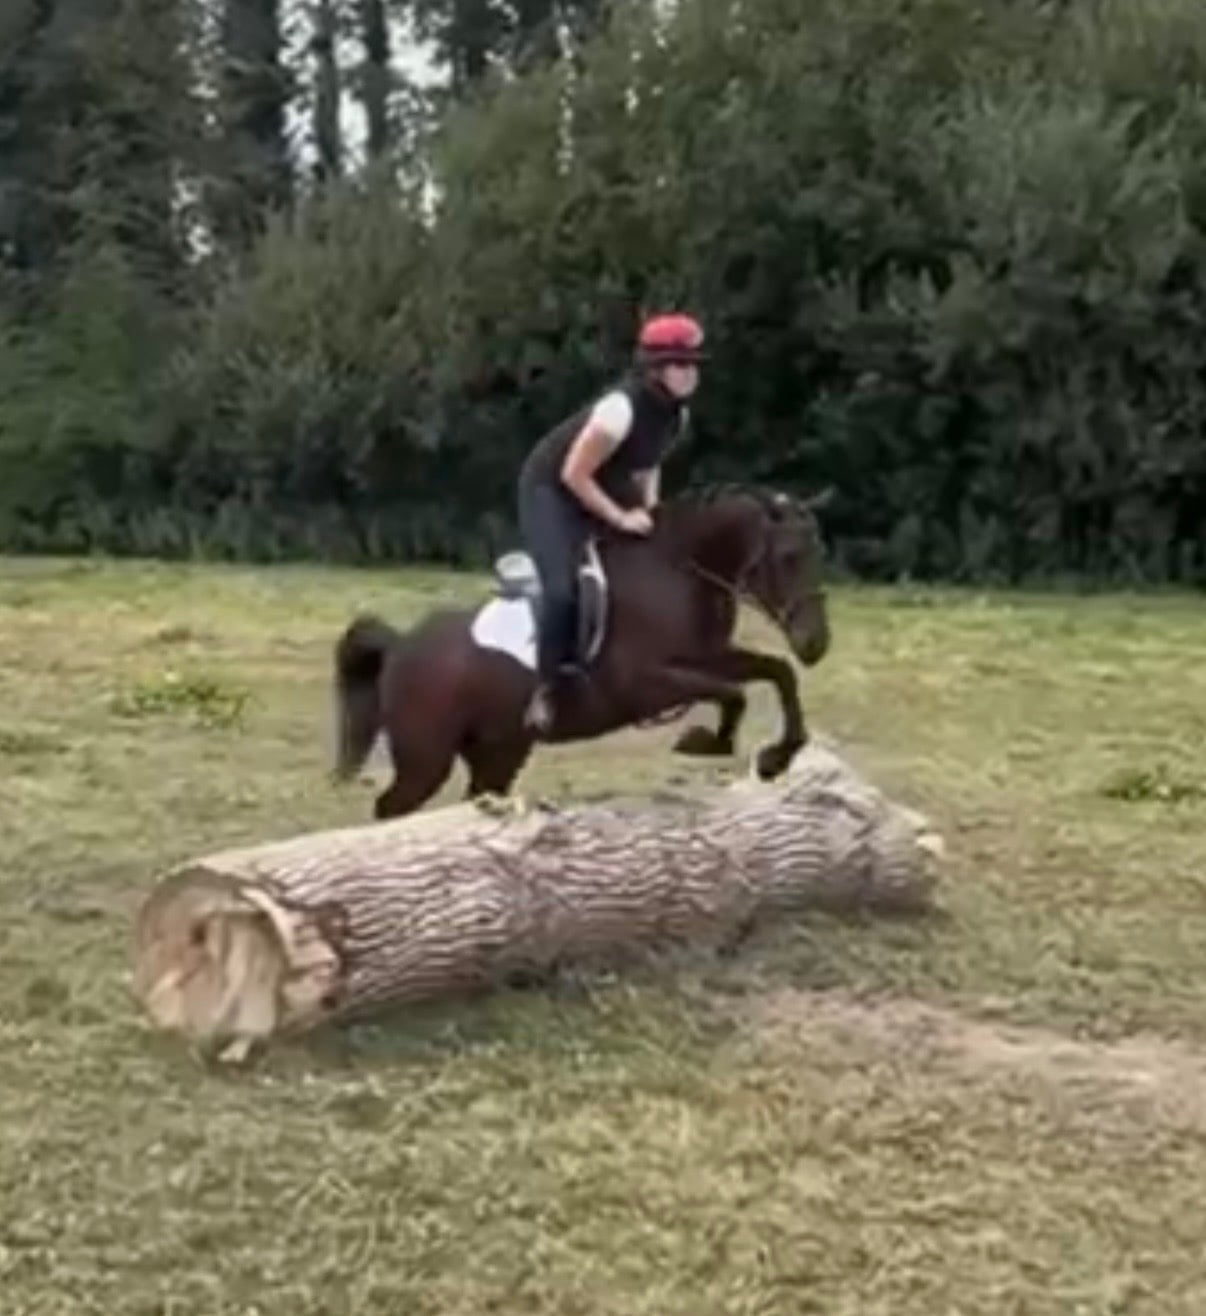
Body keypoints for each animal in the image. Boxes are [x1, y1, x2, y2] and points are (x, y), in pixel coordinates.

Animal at [330, 484, 833, 820]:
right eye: (789, 557)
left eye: (817, 553)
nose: (816, 643)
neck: (678, 570)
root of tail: (401, 645)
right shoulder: (646, 686)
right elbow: (735, 694)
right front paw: (705, 741)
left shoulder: (709, 657)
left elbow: (777, 672)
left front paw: (778, 756)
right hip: (426, 760)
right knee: (391, 807)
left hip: (498, 749)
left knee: (477, 797)